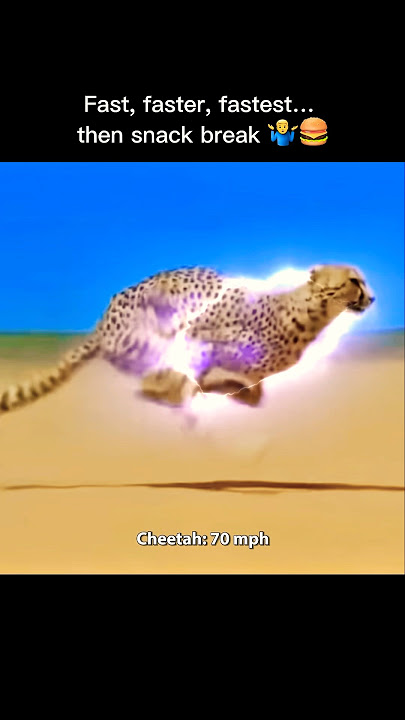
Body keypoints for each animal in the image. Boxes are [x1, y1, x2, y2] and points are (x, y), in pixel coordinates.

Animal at [0, 264, 374, 413]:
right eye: (354, 281)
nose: (371, 298)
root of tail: (102, 323)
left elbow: (254, 395)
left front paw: (232, 393)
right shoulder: (201, 334)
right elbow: (199, 373)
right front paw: (213, 389)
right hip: (148, 336)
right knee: (154, 384)